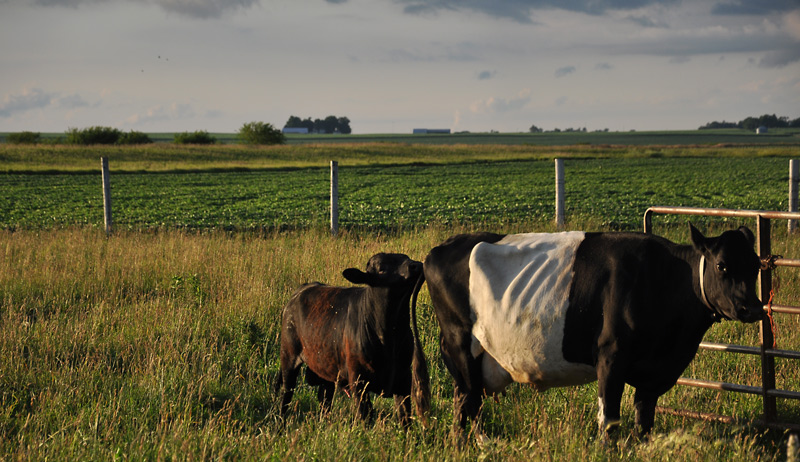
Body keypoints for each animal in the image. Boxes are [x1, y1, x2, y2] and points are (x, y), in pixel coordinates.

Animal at [274, 252, 429, 426]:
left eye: (406, 258)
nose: (415, 265)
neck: (388, 337)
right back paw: (280, 426)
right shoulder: (358, 381)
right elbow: (365, 416)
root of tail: (301, 290)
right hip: (289, 358)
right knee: (286, 395)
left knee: (324, 399)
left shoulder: (403, 379)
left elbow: (404, 418)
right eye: (381, 268)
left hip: (326, 366)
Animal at [415, 225, 763, 440]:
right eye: (721, 265)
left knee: (467, 406)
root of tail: (438, 250)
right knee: (466, 405)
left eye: (757, 266)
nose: (752, 308)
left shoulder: (653, 374)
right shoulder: (611, 356)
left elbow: (644, 423)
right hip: (461, 348)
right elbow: (608, 419)